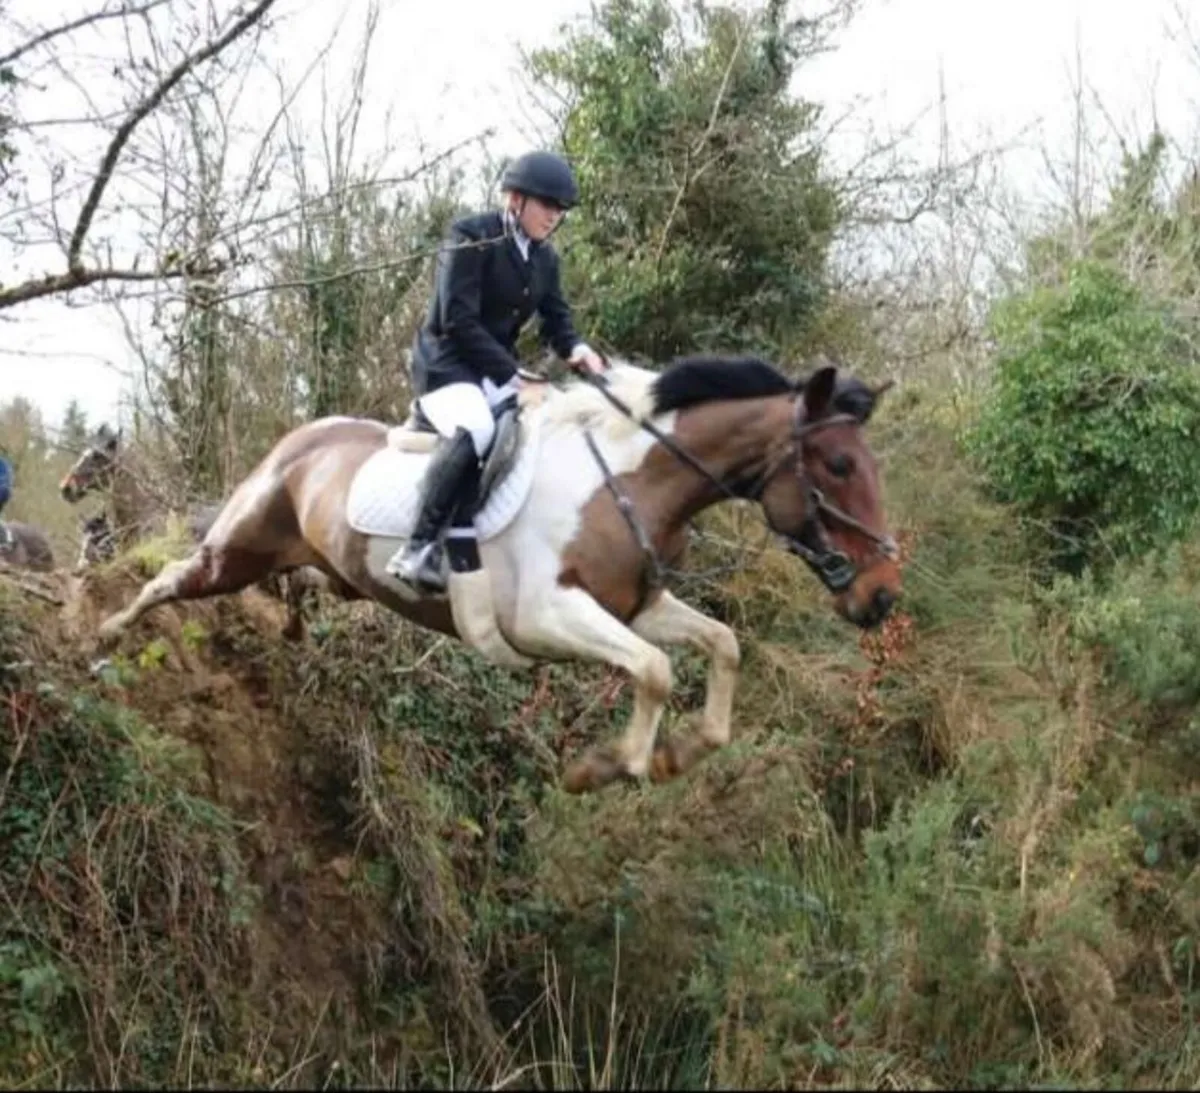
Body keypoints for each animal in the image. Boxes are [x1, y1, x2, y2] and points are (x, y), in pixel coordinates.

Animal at [95, 354, 903, 794]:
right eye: (838, 465)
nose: (882, 597)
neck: (632, 482)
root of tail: (298, 441)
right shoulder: (547, 616)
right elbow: (654, 670)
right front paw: (607, 767)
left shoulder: (636, 606)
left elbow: (721, 645)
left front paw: (684, 750)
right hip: (235, 551)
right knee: (169, 579)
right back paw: (102, 635)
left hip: (326, 568)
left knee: (300, 585)